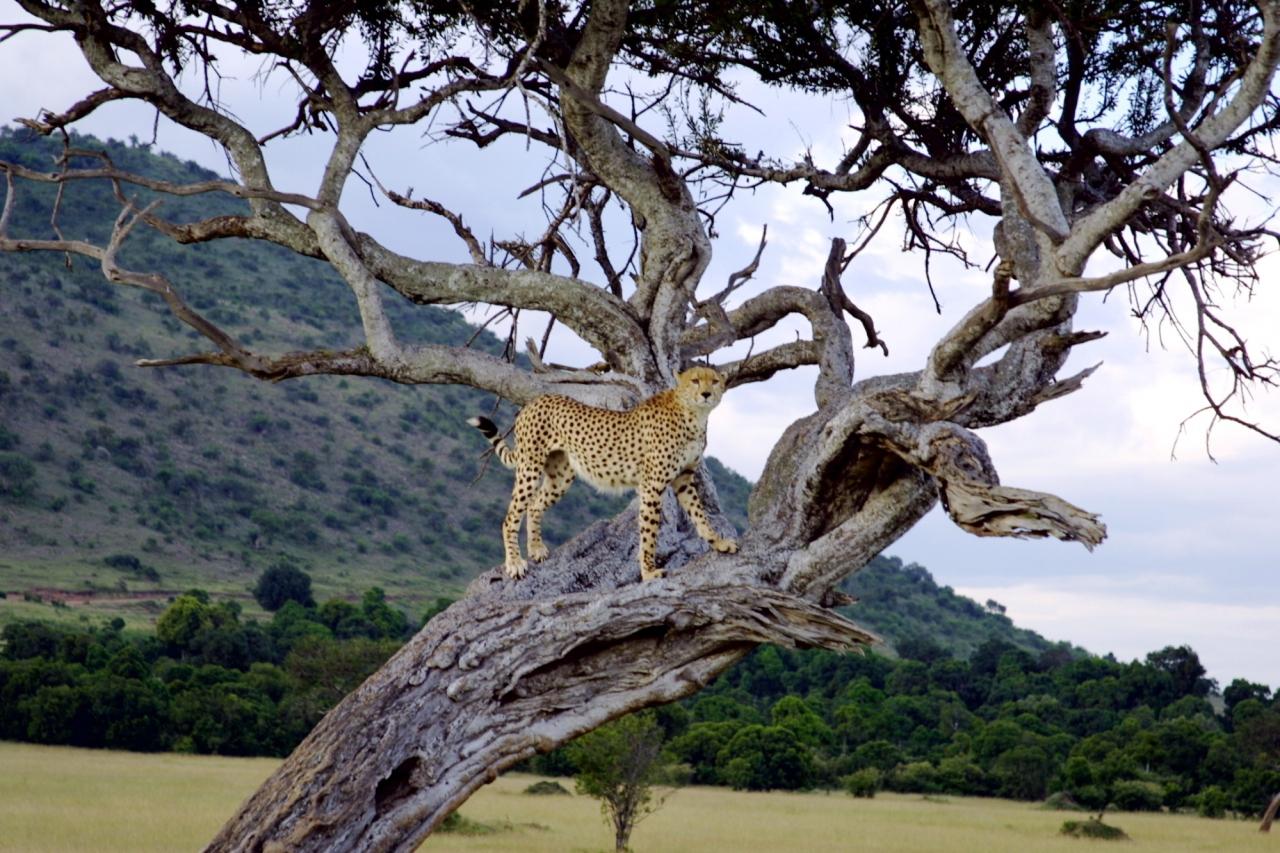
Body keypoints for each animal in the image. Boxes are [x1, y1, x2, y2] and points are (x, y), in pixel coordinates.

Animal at [471, 363, 737, 578]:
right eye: (695, 380)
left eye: (714, 381)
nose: (706, 394)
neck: (693, 414)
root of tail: (535, 400)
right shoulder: (652, 485)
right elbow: (649, 532)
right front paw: (649, 572)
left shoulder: (683, 478)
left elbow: (699, 515)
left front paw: (719, 543)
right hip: (530, 467)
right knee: (510, 517)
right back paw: (515, 563)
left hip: (561, 476)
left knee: (535, 504)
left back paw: (536, 549)